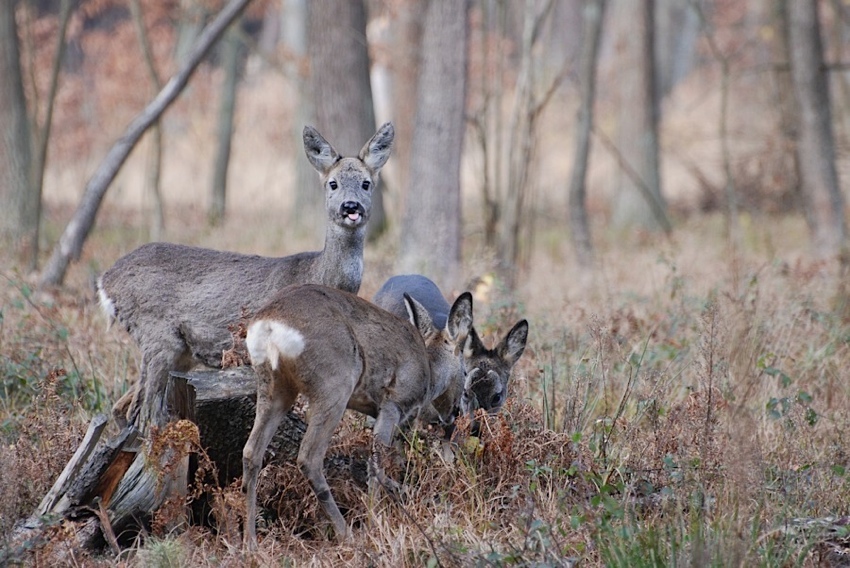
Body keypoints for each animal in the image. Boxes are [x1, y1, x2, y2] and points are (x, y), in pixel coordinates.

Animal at [97, 122, 396, 428]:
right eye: (332, 183)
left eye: (366, 183)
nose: (351, 207)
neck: (317, 274)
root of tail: (105, 280)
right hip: (156, 335)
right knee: (144, 413)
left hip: (180, 352)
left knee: (122, 407)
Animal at [242, 282, 474, 544]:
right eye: (465, 373)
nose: (455, 414)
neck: (429, 374)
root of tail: (269, 324)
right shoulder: (392, 403)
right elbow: (376, 464)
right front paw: (376, 521)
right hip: (334, 384)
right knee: (309, 457)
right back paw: (346, 534)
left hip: (274, 386)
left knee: (251, 452)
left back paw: (250, 541)